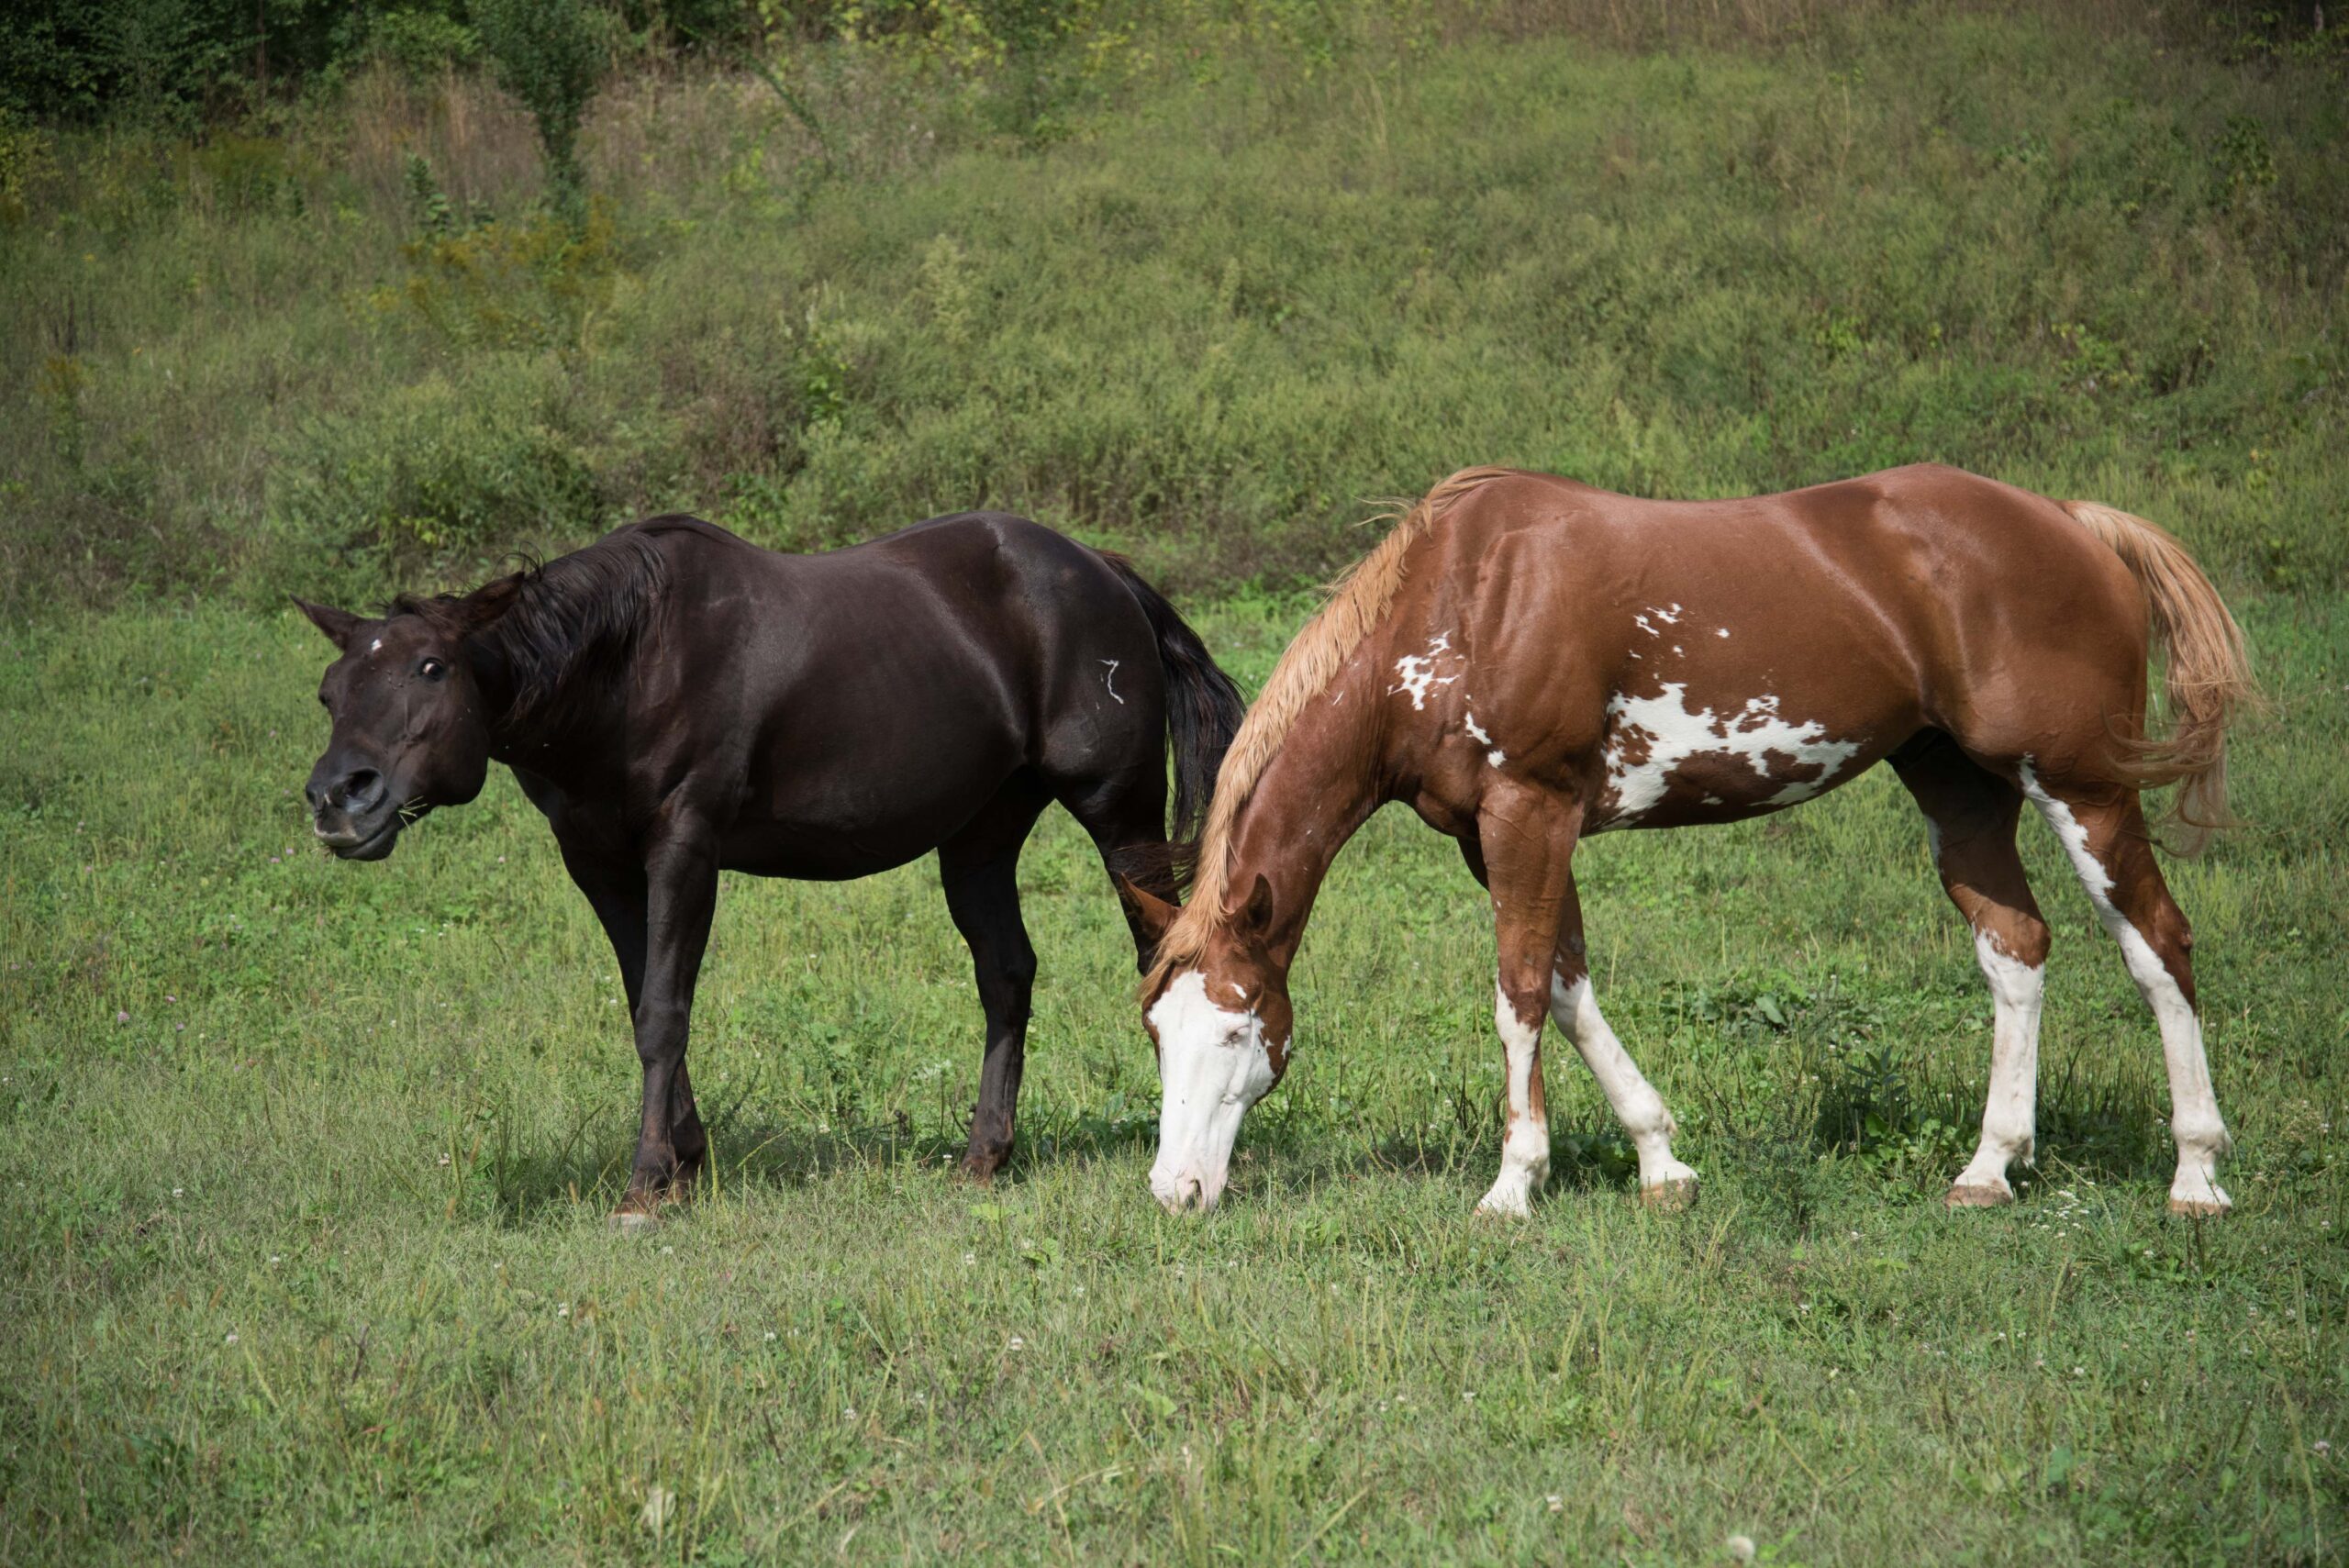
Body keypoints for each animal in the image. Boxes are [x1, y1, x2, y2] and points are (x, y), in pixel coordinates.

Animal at [298, 511, 1243, 1228]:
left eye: (432, 667)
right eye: (329, 688)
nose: (339, 796)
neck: (630, 660)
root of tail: (1103, 571)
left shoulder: (684, 845)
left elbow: (664, 1009)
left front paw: (647, 1181)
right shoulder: (597, 862)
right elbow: (644, 1000)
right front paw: (685, 1157)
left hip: (1120, 815)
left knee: (1163, 961)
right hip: (980, 839)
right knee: (1006, 977)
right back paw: (985, 1153)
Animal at [1114, 464, 2254, 1218]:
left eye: (1237, 1030)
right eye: (1158, 1034)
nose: (1176, 1188)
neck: (1463, 605)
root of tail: (2071, 522)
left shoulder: (1528, 811)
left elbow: (1518, 988)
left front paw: (1512, 1184)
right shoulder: (1501, 833)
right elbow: (1568, 987)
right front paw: (1660, 1160)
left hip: (2083, 783)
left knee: (2158, 942)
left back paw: (2195, 1174)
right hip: (1959, 787)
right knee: (2014, 949)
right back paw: (1988, 1166)